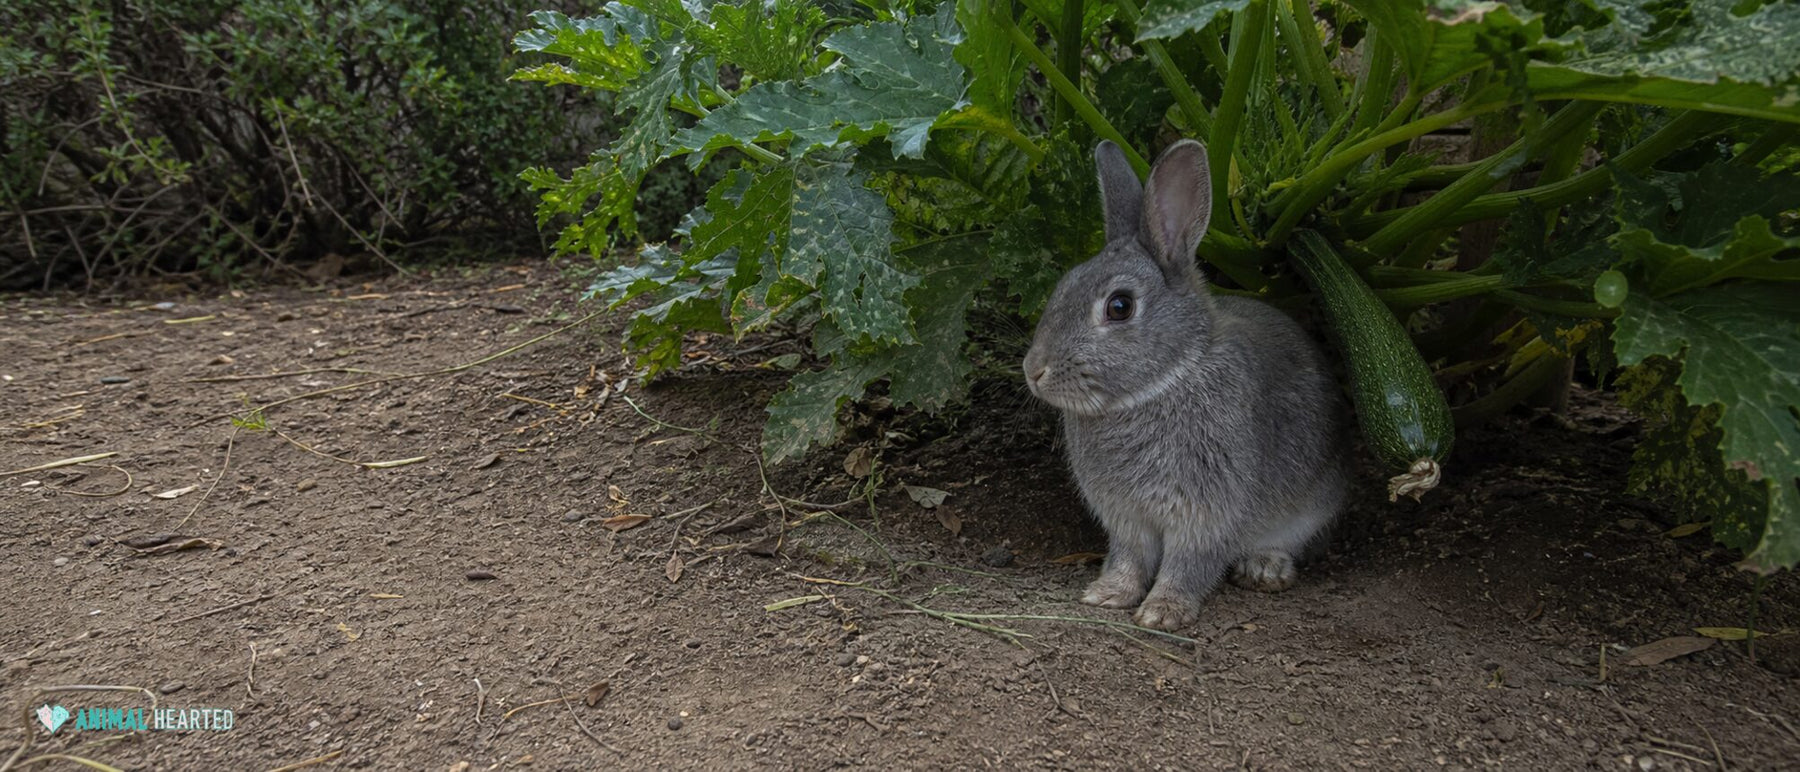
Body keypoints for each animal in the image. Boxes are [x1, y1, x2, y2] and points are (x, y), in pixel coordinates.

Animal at [1022, 139, 1350, 631]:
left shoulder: (1206, 513)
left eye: (1119, 306)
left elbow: (1189, 563)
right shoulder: (1126, 518)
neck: (1160, 384)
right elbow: (1129, 557)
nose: (1034, 370)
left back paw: (1265, 568)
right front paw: (1108, 594)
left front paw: (1163, 612)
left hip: (1313, 506)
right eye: (1063, 285)